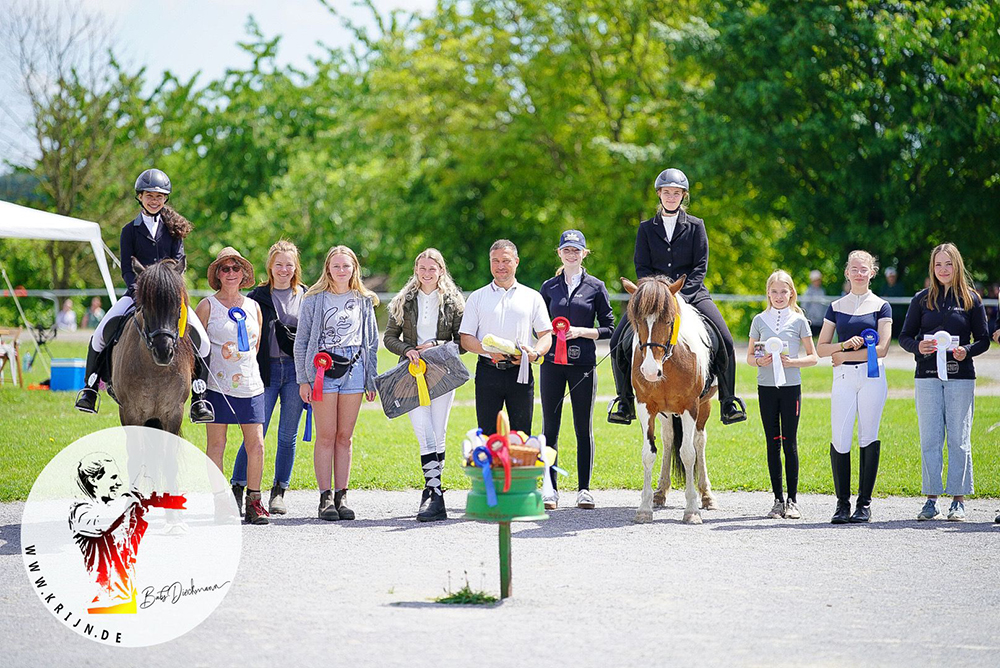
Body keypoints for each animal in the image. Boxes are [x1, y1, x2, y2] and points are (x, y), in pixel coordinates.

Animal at [620, 276, 716, 520]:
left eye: (668, 320)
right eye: (637, 320)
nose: (650, 371)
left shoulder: (691, 407)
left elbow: (688, 453)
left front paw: (691, 510)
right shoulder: (645, 407)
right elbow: (649, 453)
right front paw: (644, 508)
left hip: (704, 406)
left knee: (699, 441)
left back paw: (707, 495)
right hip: (665, 413)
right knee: (669, 438)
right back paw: (660, 492)